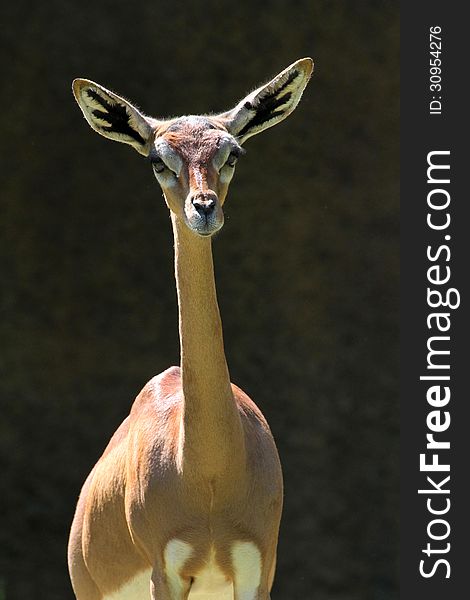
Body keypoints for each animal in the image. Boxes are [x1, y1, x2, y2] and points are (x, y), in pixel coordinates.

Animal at [68, 57, 314, 600]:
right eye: (158, 159)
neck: (208, 472)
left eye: (231, 152)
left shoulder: (258, 572)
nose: (203, 208)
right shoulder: (167, 575)